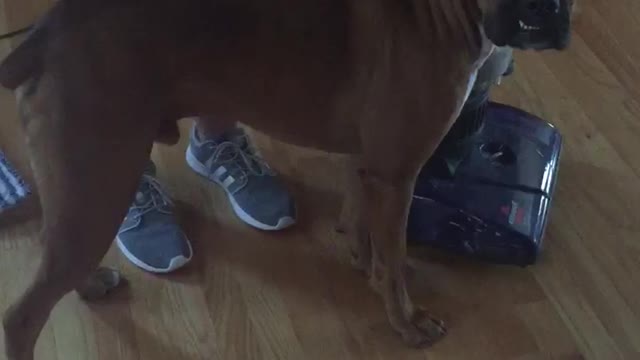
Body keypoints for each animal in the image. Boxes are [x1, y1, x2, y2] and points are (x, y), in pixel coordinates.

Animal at [0, 0, 568, 358]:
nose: (545, 11)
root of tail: (43, 35)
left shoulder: (370, 165)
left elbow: (363, 224)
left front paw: (363, 259)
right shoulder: (397, 175)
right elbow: (394, 261)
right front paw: (405, 320)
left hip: (81, 189)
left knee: (56, 261)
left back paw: (91, 283)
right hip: (101, 183)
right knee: (23, 316)